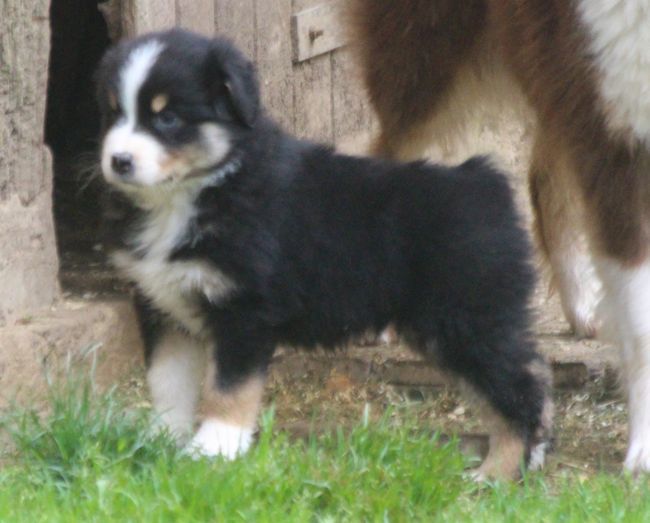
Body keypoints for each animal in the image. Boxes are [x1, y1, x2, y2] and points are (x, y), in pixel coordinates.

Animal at [95, 29, 551, 479]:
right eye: (114, 113)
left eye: (167, 118)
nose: (118, 161)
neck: (197, 191)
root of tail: (485, 181)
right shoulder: (164, 304)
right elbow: (167, 379)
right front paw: (161, 441)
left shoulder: (244, 311)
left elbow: (228, 388)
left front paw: (213, 450)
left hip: (466, 318)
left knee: (520, 391)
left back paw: (496, 474)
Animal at [351, 0, 650, 474]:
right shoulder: (618, 141)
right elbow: (641, 320)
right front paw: (643, 450)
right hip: (426, 56)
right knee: (391, 152)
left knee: (546, 173)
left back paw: (582, 305)